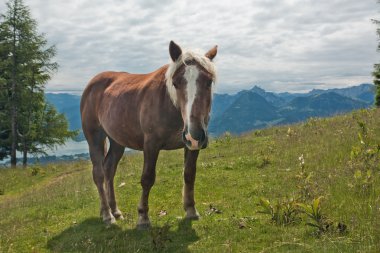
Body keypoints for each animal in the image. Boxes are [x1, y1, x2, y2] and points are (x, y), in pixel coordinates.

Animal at [80, 41, 217, 227]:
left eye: (209, 82)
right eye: (176, 83)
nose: (194, 134)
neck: (170, 105)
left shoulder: (192, 146)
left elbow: (189, 174)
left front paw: (191, 210)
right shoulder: (151, 145)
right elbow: (147, 179)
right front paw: (143, 217)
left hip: (117, 141)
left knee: (109, 169)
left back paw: (115, 211)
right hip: (94, 137)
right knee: (99, 174)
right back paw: (107, 215)